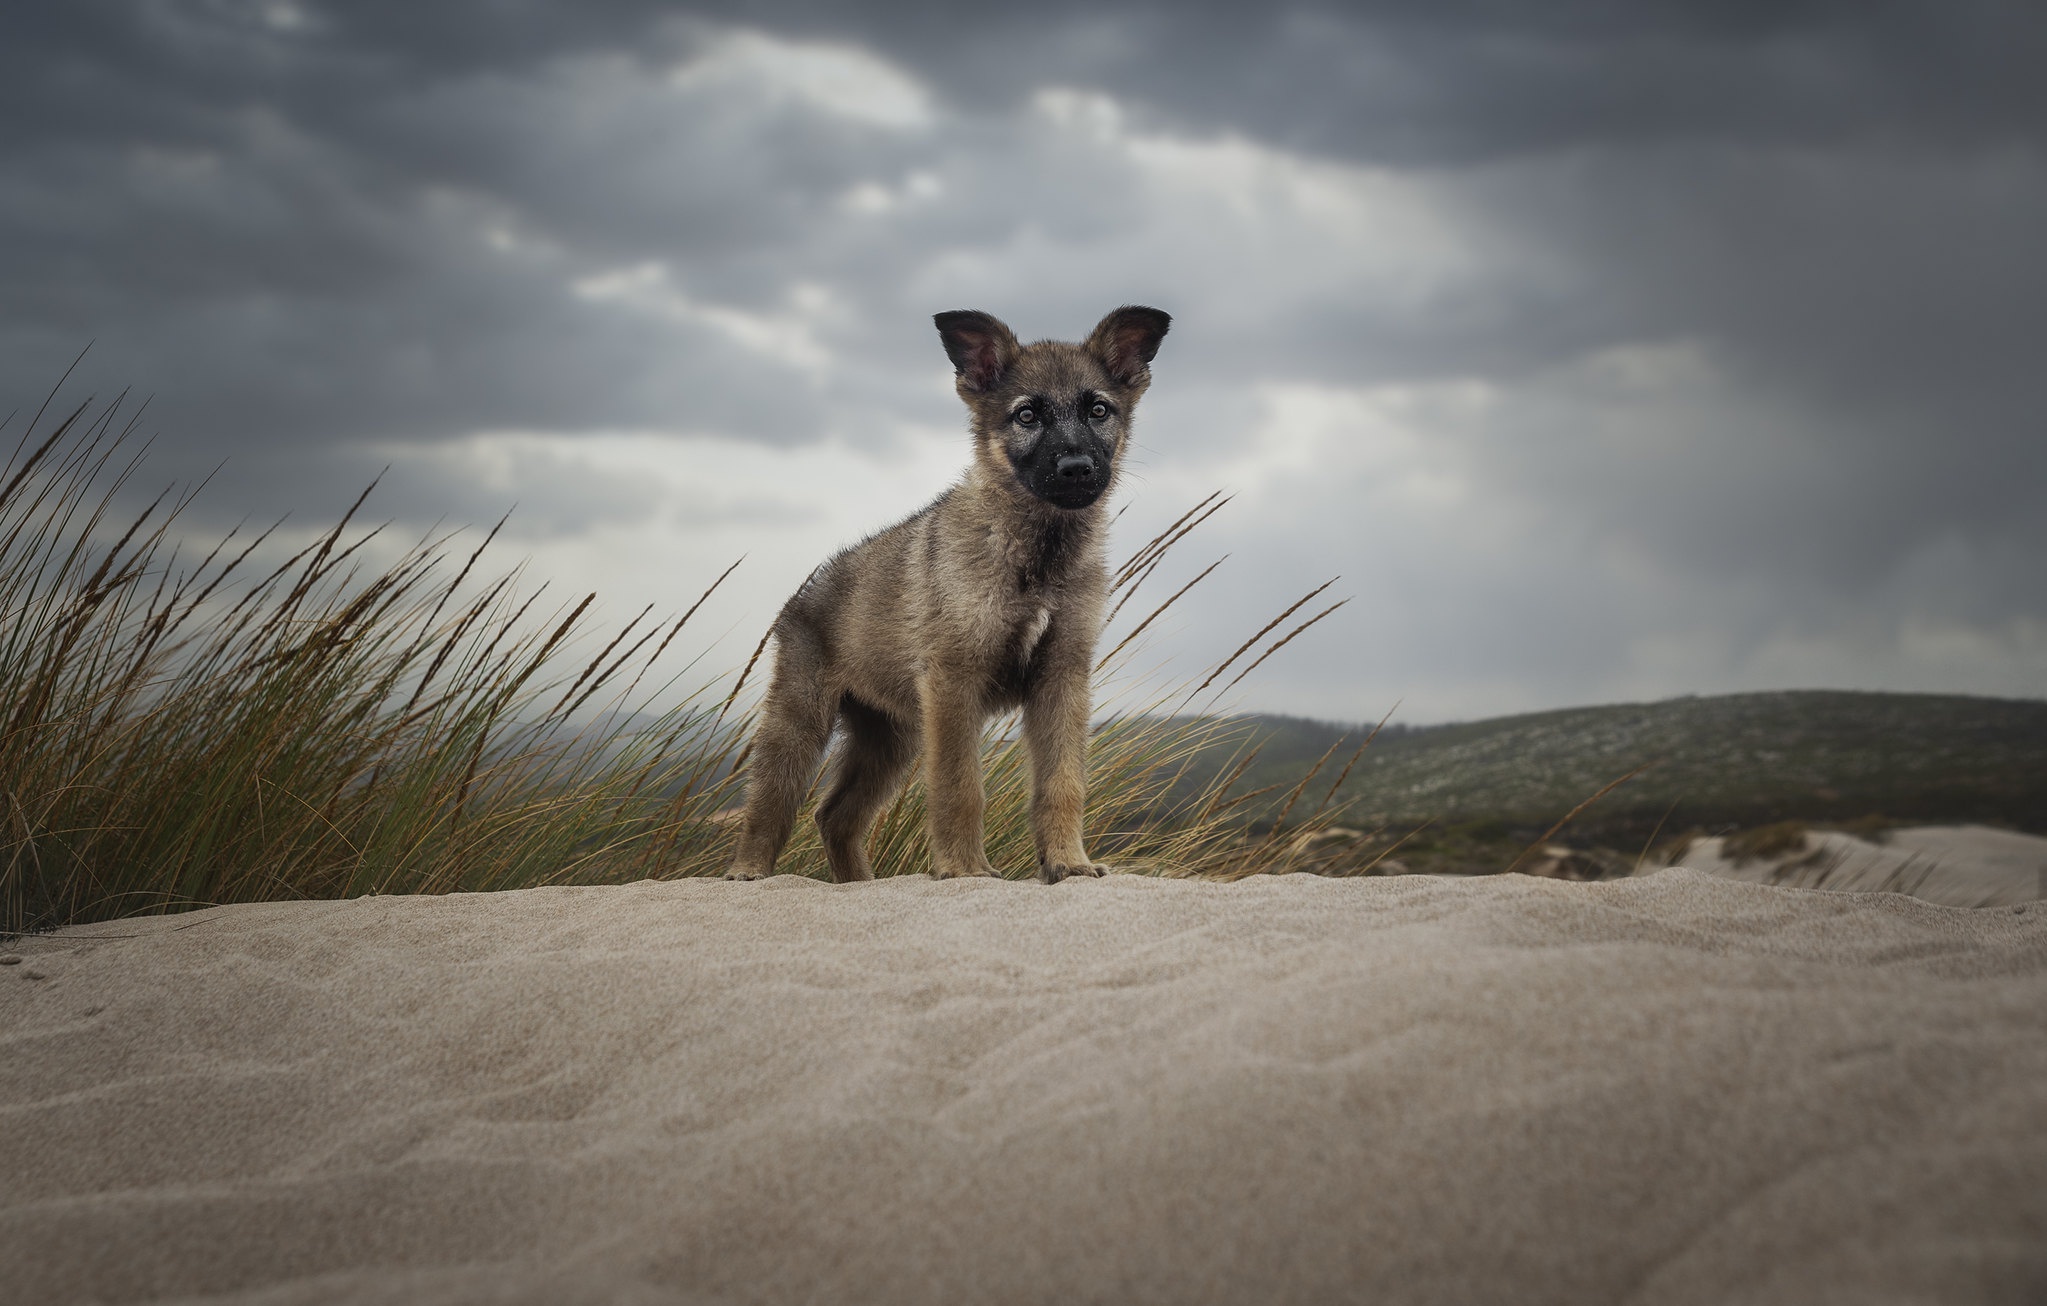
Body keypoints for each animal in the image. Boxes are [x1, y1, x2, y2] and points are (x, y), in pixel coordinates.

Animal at [724, 305, 1170, 892]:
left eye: (1099, 410)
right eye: (1027, 415)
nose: (1076, 468)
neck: (1033, 551)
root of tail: (805, 590)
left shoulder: (1062, 677)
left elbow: (1062, 783)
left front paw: (1067, 862)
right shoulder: (955, 681)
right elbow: (961, 788)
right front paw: (964, 869)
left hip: (892, 736)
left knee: (835, 815)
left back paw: (861, 885)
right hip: (802, 718)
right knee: (769, 804)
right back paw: (748, 870)